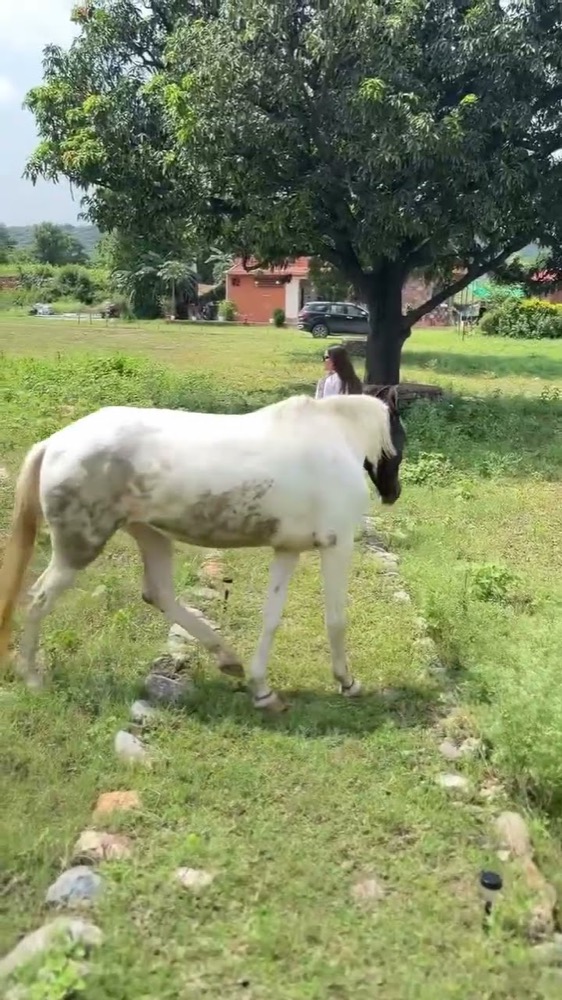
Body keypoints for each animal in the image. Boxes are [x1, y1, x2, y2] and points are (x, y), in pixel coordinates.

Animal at [0, 390, 405, 711]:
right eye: (399, 435)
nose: (392, 493)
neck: (335, 438)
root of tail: (53, 444)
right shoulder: (337, 544)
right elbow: (336, 620)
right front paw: (348, 682)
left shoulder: (287, 549)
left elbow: (271, 618)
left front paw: (263, 691)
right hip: (78, 548)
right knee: (39, 598)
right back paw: (31, 678)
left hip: (151, 535)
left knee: (159, 593)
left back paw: (228, 660)